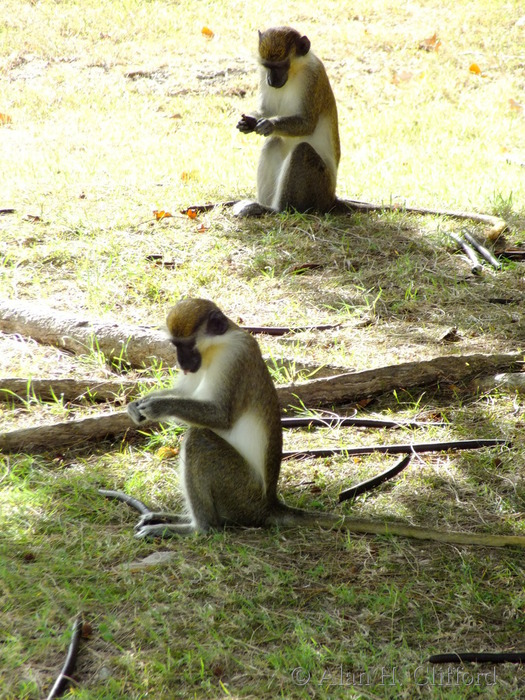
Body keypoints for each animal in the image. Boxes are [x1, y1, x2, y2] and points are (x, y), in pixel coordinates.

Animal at [120, 297, 525, 548]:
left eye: (187, 345)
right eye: (175, 347)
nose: (183, 361)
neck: (217, 348)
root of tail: (268, 504)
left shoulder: (236, 358)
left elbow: (220, 416)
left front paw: (156, 406)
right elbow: (186, 391)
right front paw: (141, 403)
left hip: (240, 492)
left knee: (200, 440)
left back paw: (198, 529)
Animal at [234, 26, 341, 217]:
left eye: (281, 66)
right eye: (267, 66)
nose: (271, 80)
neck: (294, 72)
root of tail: (332, 199)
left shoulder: (313, 76)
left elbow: (307, 123)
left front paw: (270, 124)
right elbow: (266, 110)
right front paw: (247, 123)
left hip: (321, 186)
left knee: (302, 150)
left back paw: (275, 210)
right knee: (273, 141)